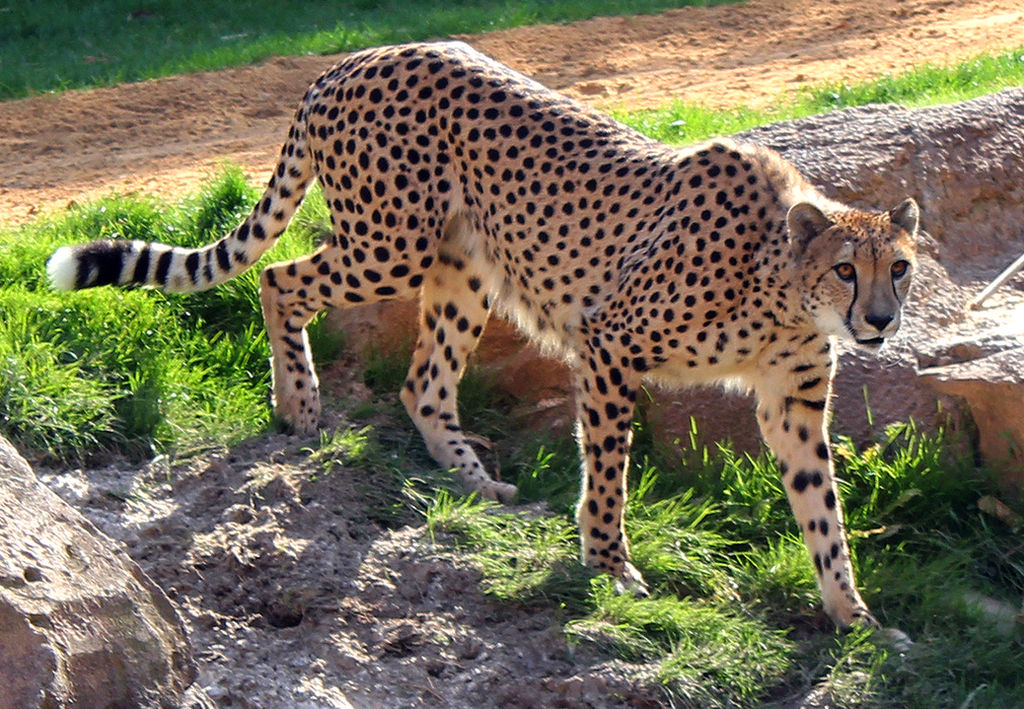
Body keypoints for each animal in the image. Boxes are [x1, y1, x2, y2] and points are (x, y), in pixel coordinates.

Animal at [46, 40, 921, 627]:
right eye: (847, 269)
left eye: (901, 269)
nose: (879, 320)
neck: (779, 287)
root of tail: (354, 58)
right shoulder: (607, 342)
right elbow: (609, 470)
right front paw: (610, 567)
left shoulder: (791, 404)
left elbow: (824, 513)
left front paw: (855, 617)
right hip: (389, 243)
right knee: (279, 278)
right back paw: (298, 406)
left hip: (460, 267)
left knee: (420, 381)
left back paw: (471, 480)